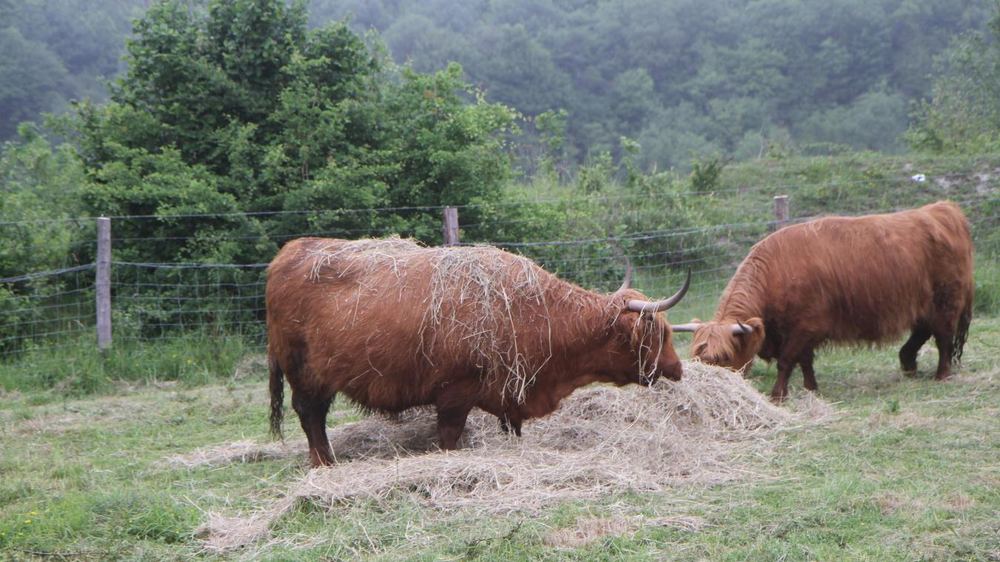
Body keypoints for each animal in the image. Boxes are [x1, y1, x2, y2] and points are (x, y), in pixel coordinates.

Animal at [267, 237, 690, 466]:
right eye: (657, 333)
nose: (677, 367)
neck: (535, 313)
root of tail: (289, 252)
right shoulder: (455, 394)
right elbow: (449, 437)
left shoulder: (511, 392)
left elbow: (512, 428)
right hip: (304, 374)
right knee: (310, 417)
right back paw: (324, 464)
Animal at [673, 201, 974, 401]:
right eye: (697, 356)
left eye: (723, 357)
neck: (777, 274)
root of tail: (942, 209)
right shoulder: (801, 331)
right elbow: (805, 361)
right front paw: (811, 388)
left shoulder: (805, 326)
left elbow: (787, 361)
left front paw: (778, 394)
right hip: (923, 304)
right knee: (922, 331)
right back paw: (908, 364)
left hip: (946, 300)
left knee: (943, 336)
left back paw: (941, 374)